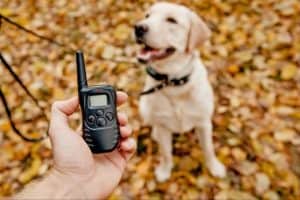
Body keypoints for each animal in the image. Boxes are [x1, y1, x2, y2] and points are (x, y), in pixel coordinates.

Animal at [135, 2, 226, 182]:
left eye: (172, 20)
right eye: (147, 16)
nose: (138, 27)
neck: (173, 84)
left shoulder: (204, 123)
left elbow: (209, 149)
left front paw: (214, 167)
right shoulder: (163, 126)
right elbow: (166, 153)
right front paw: (164, 170)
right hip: (144, 105)